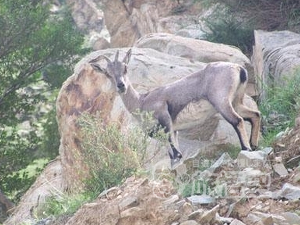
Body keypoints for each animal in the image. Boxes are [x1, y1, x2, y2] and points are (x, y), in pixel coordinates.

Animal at [89, 48, 260, 165]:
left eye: (125, 68)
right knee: (254, 115)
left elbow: (177, 154)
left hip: (221, 102)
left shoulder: (165, 120)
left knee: (237, 120)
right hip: (236, 101)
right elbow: (174, 156)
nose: (121, 85)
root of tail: (239, 69)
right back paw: (254, 145)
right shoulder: (173, 131)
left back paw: (246, 148)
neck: (142, 101)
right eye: (108, 74)